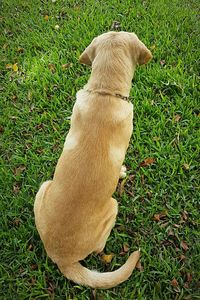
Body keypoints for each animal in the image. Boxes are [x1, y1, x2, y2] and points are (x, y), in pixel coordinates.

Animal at [34, 31, 152, 288]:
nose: (116, 23)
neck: (104, 92)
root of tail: (62, 258)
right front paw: (122, 171)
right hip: (113, 207)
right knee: (99, 248)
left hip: (44, 187)